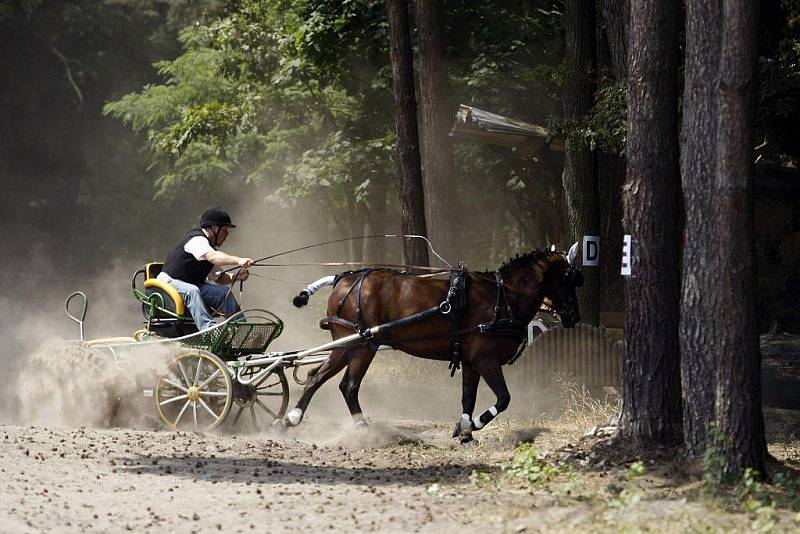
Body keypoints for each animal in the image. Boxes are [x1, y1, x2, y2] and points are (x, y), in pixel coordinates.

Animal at [284, 249, 584, 442]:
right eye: (570, 278)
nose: (574, 316)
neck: (503, 298)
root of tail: (344, 279)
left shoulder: (472, 362)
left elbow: (468, 397)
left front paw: (464, 429)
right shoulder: (487, 361)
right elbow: (503, 398)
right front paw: (475, 425)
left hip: (346, 345)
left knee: (316, 376)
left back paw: (292, 417)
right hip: (362, 346)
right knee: (349, 386)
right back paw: (364, 428)